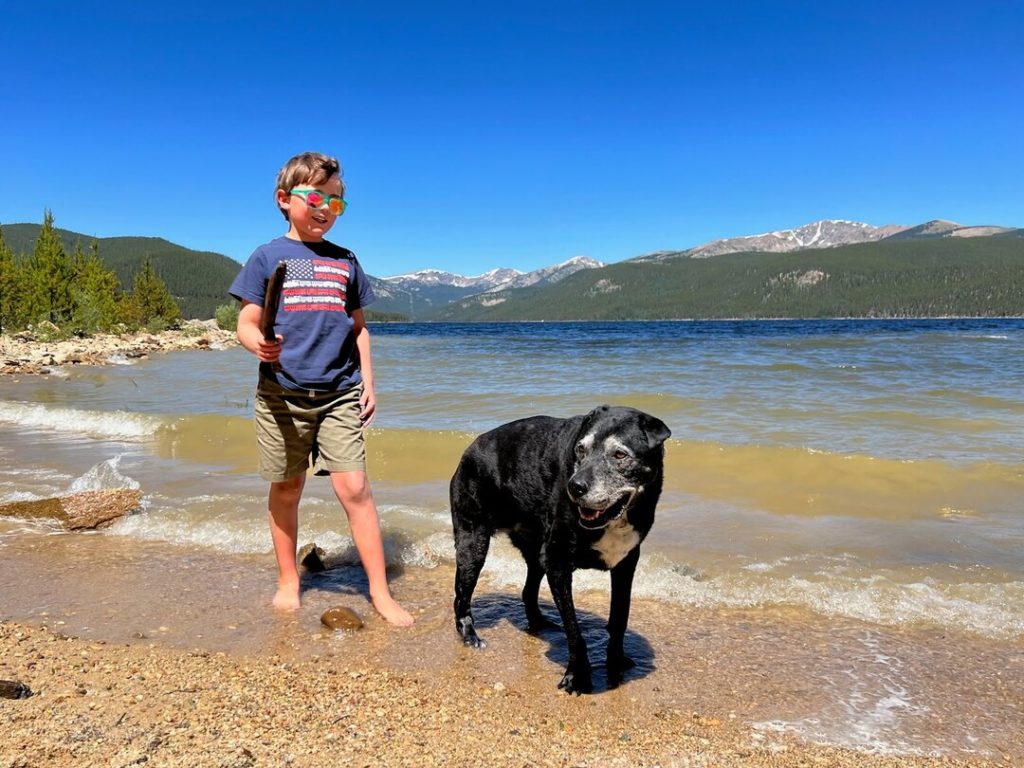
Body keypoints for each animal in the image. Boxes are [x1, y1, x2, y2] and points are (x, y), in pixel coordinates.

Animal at [448, 405, 671, 696]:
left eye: (620, 454)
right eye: (580, 449)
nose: (575, 487)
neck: (614, 520)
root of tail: (469, 449)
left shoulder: (626, 563)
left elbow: (620, 616)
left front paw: (616, 661)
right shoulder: (558, 564)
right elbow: (574, 631)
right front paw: (578, 677)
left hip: (536, 551)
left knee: (528, 590)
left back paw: (539, 624)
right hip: (473, 542)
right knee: (461, 596)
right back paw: (470, 635)